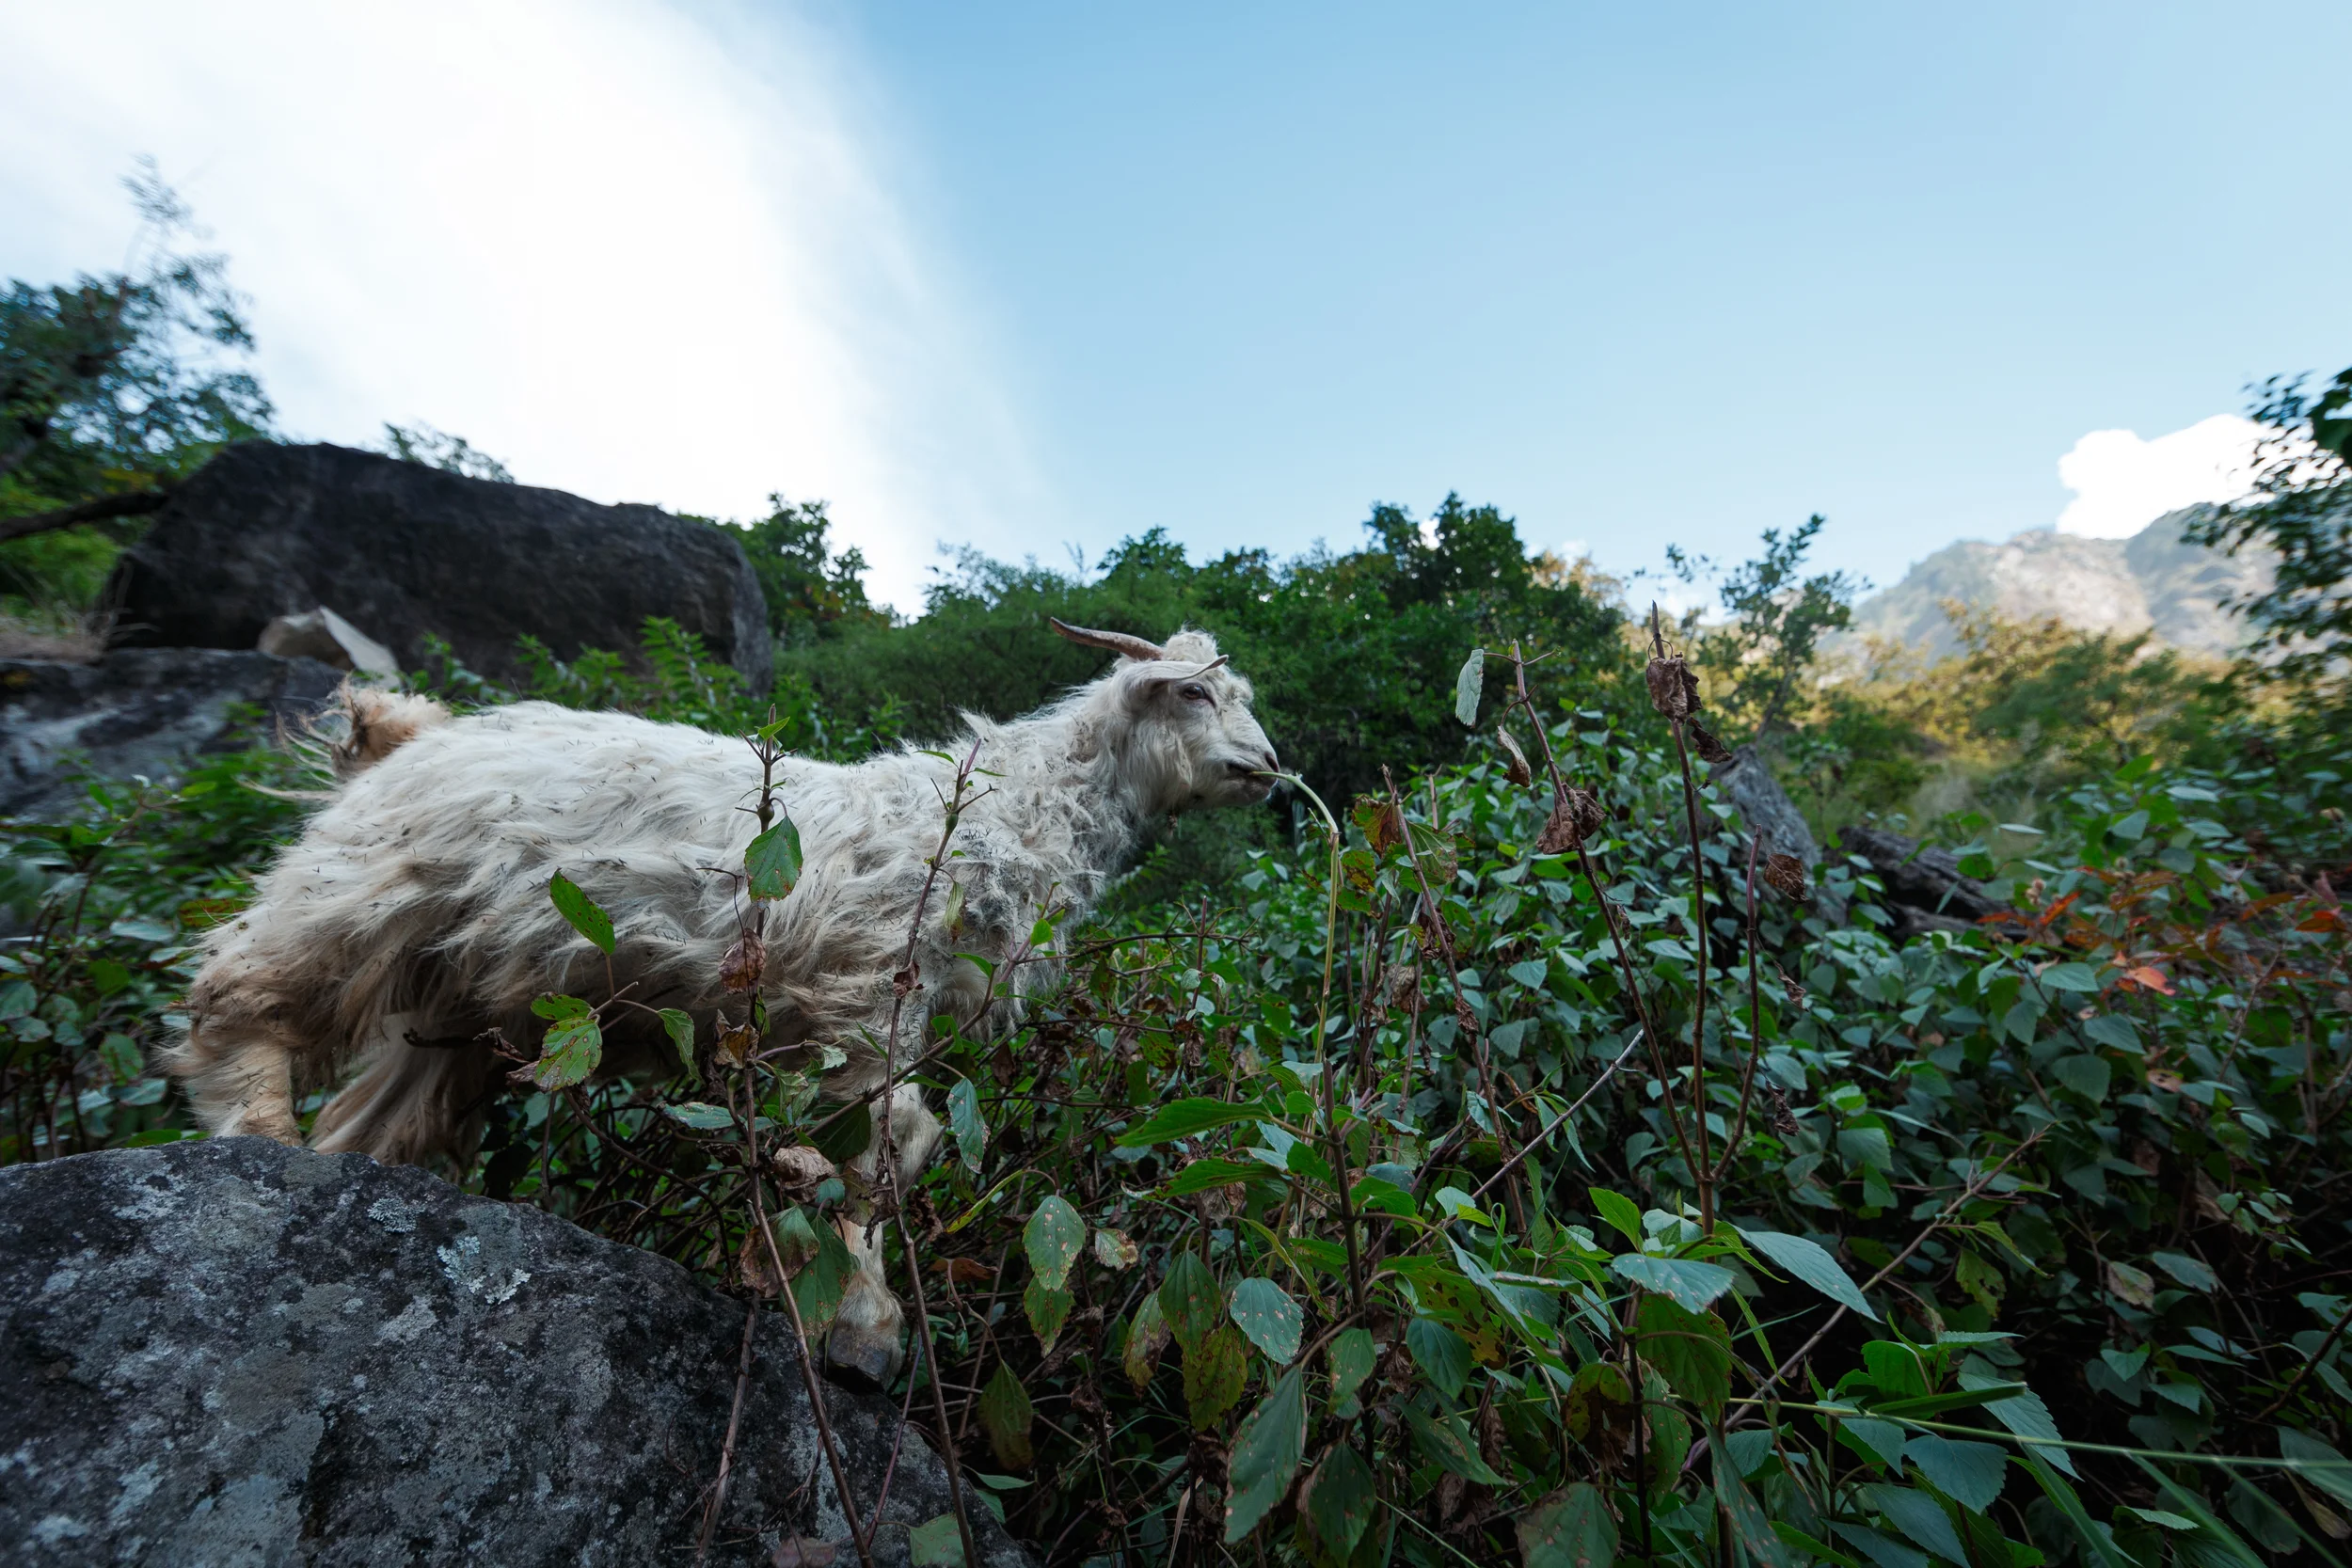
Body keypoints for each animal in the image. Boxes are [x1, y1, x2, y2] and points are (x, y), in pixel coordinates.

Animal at [166, 619, 1278, 1381]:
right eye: (1192, 695)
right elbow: (882, 1149)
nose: (1267, 767)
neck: (999, 813)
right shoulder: (867, 988)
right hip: (362, 889)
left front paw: (855, 1314)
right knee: (236, 991)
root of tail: (400, 739)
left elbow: (883, 1149)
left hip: (462, 998)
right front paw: (862, 1328)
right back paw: (254, 1133)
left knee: (372, 1123)